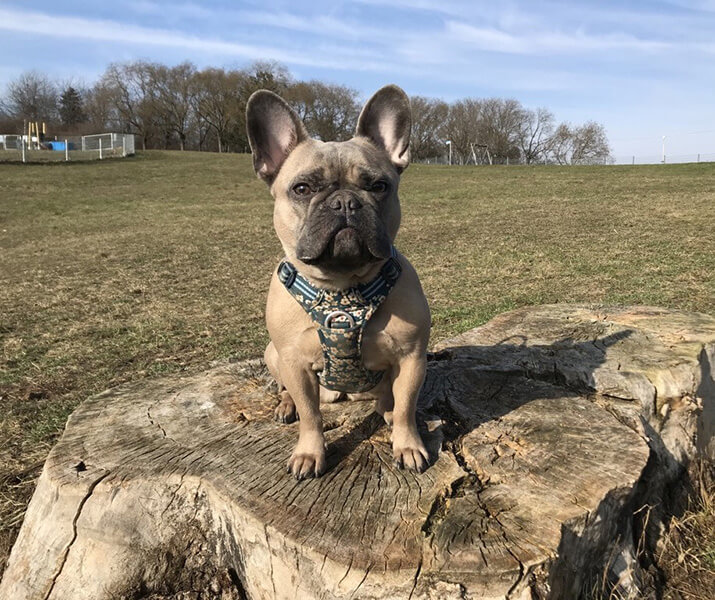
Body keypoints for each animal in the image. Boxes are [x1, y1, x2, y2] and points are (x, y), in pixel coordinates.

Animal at [246, 85, 430, 479]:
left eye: (379, 186)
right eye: (301, 188)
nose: (345, 201)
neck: (343, 288)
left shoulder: (412, 359)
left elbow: (407, 406)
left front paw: (408, 445)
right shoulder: (295, 363)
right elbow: (311, 416)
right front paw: (308, 453)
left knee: (387, 398)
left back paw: (384, 409)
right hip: (272, 354)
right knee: (290, 392)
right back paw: (286, 405)